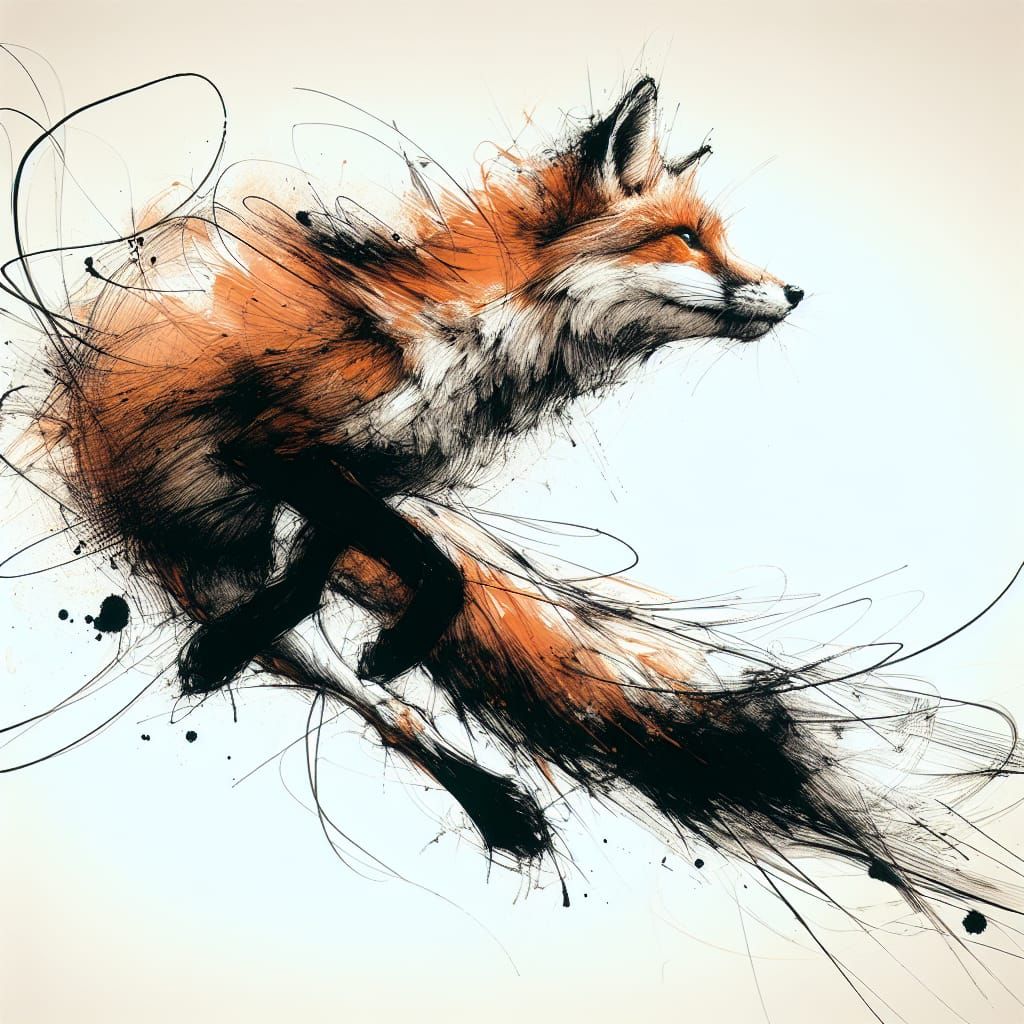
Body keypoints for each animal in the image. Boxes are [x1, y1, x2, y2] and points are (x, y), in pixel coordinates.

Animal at [14, 73, 1024, 954]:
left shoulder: (361, 480)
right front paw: (368, 643)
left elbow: (355, 570)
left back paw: (485, 799)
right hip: (204, 552)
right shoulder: (284, 449)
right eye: (687, 239)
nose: (795, 291)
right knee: (359, 690)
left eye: (715, 239)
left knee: (376, 698)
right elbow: (429, 573)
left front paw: (351, 636)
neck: (471, 338)